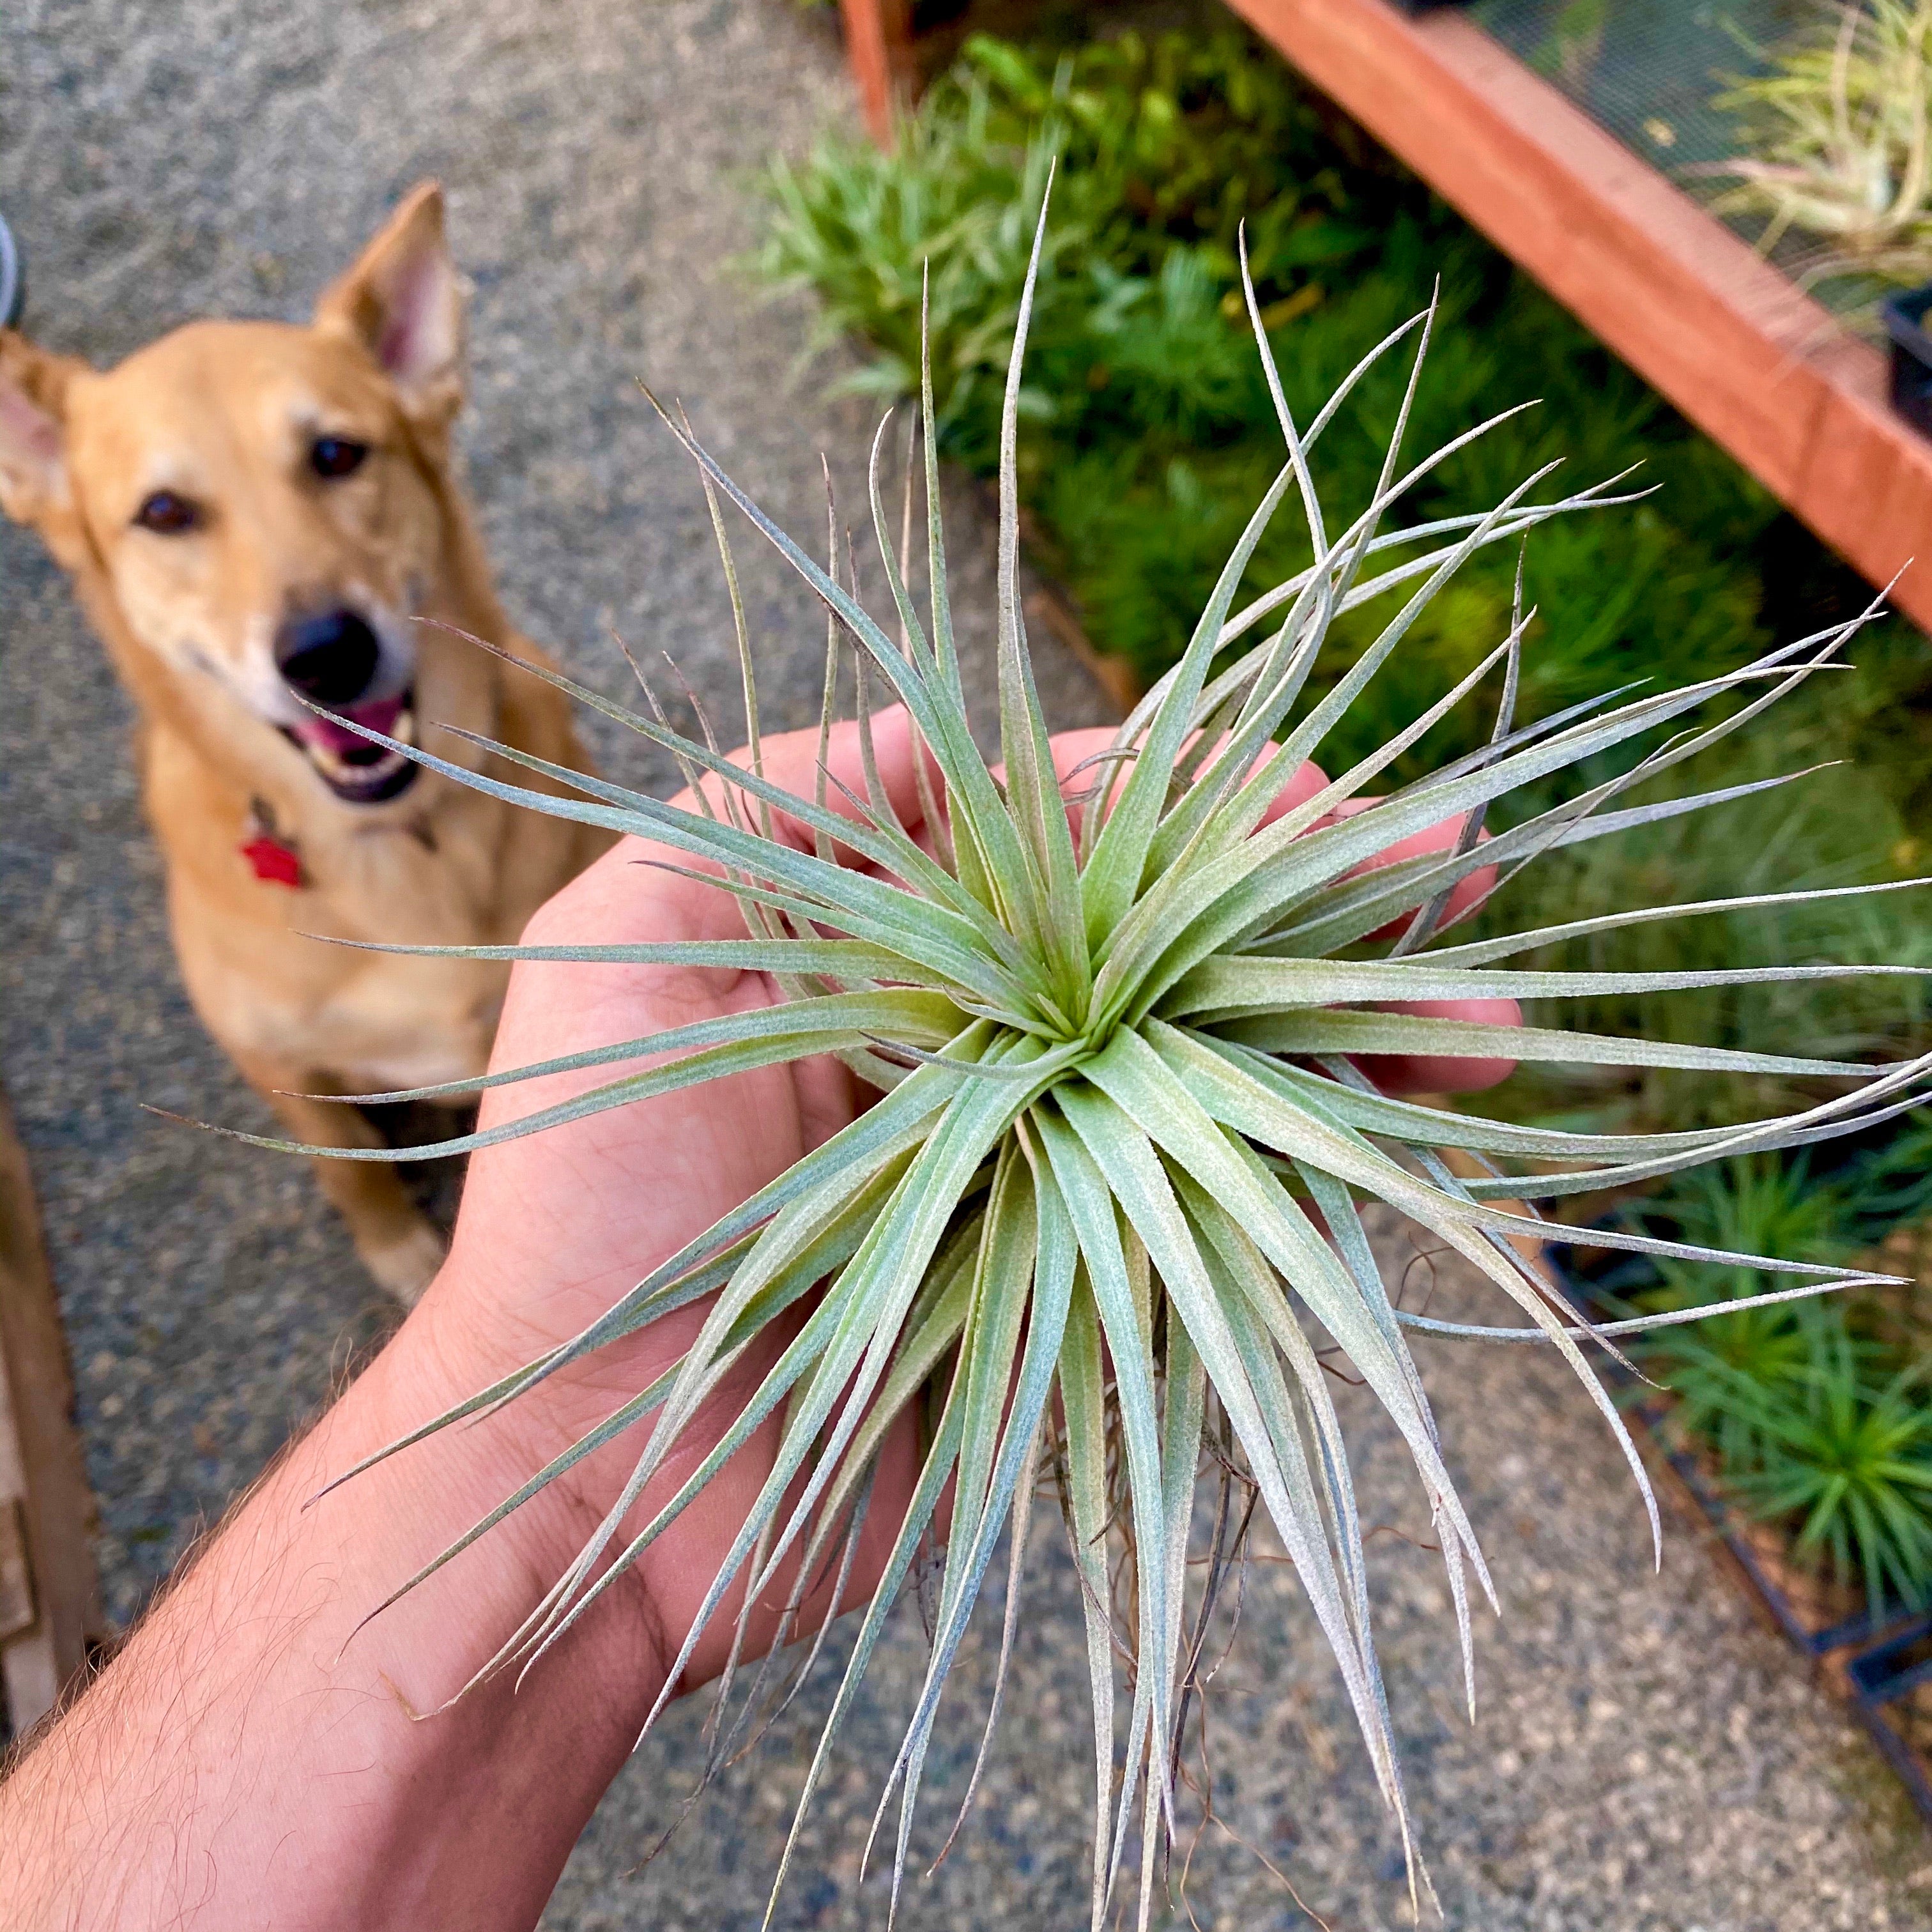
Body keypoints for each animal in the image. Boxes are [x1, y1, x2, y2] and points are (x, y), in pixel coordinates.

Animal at [0, 184, 610, 1298]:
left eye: (337, 454)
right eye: (164, 512)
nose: (325, 653)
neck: (397, 856)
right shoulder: (283, 1069)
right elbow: (350, 1173)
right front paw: (407, 1258)